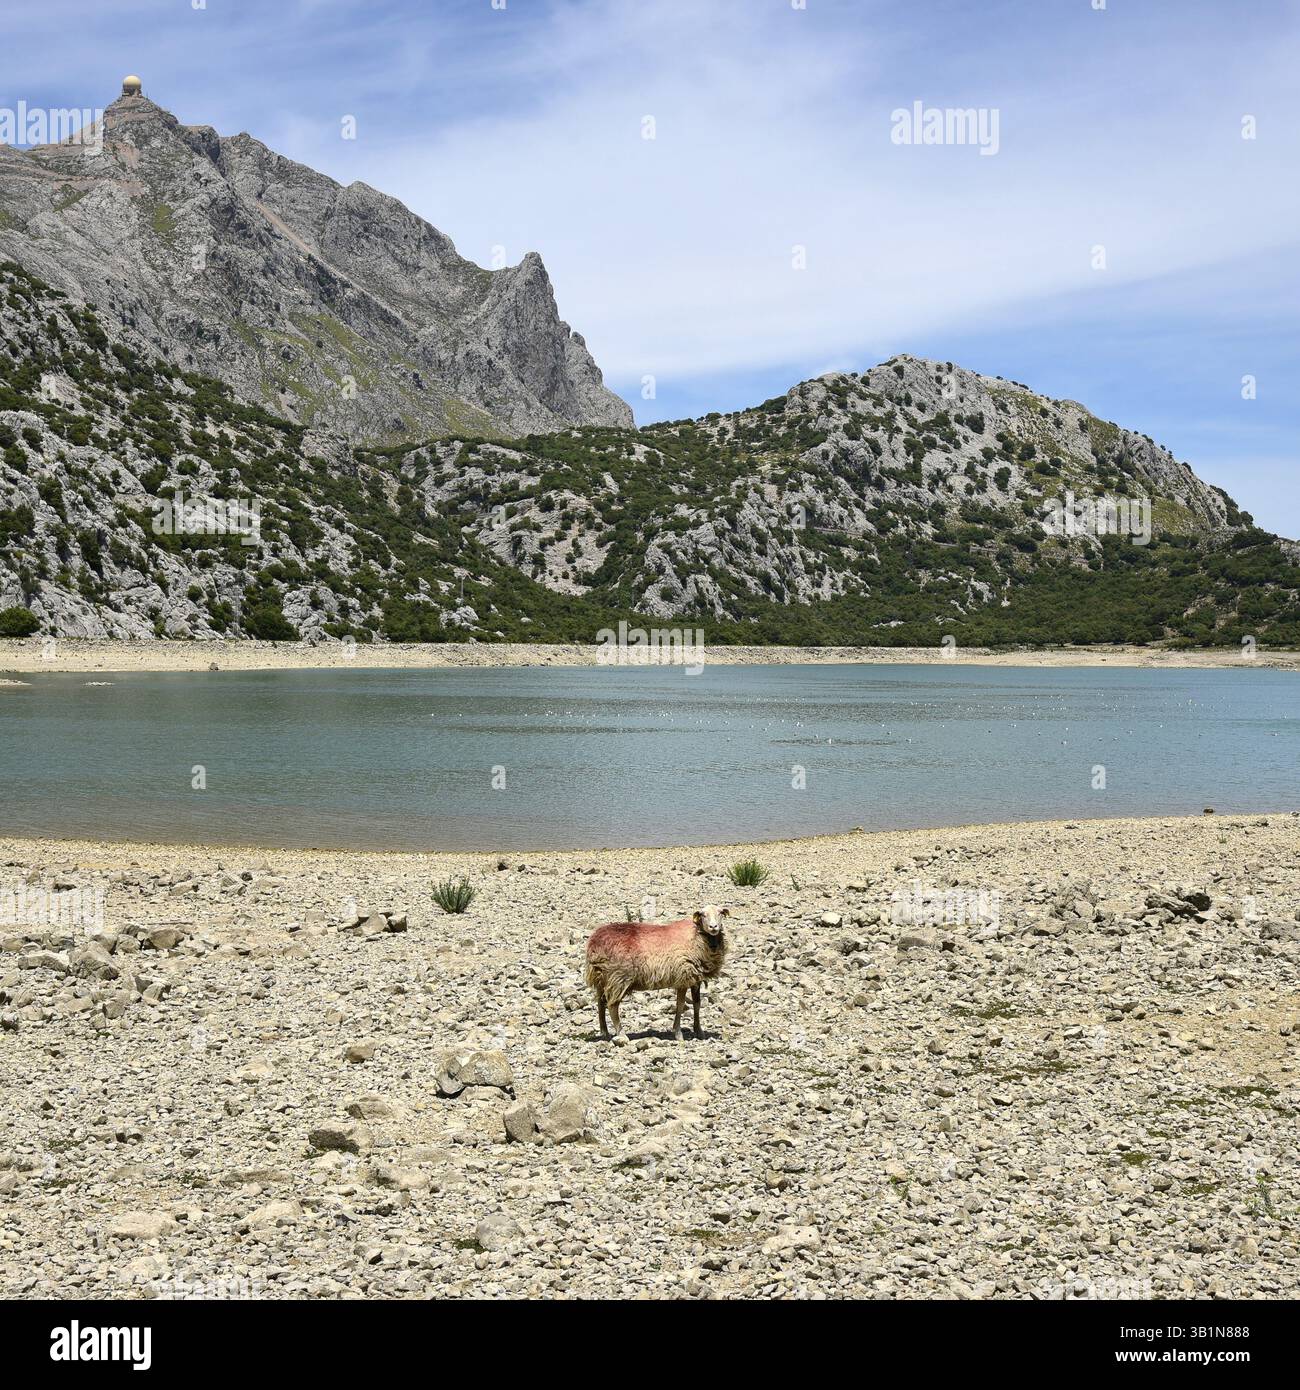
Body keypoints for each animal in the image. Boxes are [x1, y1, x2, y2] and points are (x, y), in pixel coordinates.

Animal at [584, 905, 730, 1042]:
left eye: (720, 913)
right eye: (703, 915)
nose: (713, 927)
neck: (697, 936)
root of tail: (593, 942)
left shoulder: (695, 978)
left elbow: (697, 1004)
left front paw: (699, 1031)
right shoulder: (683, 975)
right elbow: (680, 1005)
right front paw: (678, 1033)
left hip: (602, 978)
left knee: (600, 1003)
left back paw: (605, 1033)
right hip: (618, 976)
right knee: (612, 1005)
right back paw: (621, 1034)